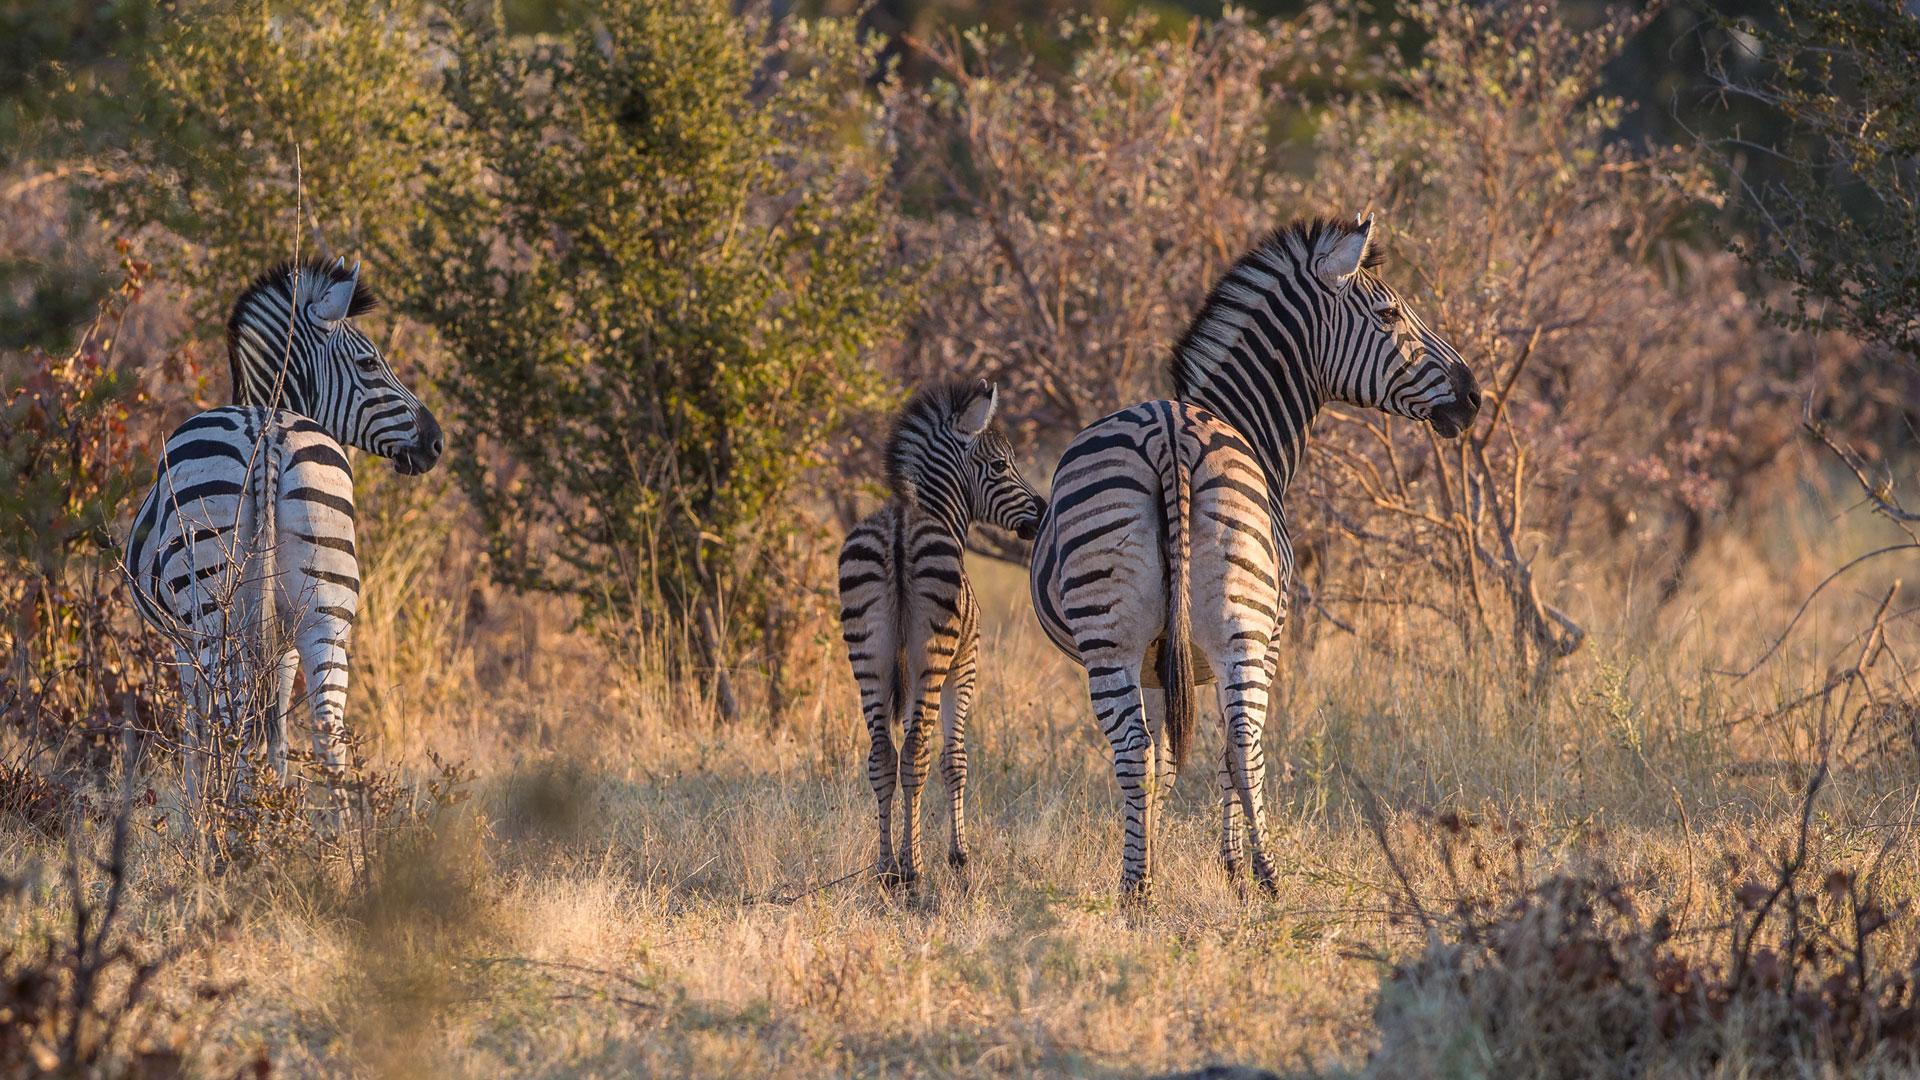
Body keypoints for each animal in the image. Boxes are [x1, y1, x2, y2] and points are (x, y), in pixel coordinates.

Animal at [125, 259, 443, 814]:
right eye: (368, 363)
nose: (436, 442)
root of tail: (267, 430)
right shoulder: (279, 640)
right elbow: (272, 725)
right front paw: (273, 796)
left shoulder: (185, 643)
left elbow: (197, 729)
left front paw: (200, 809)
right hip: (326, 606)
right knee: (327, 728)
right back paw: (335, 837)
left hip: (216, 612)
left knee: (230, 718)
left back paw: (233, 827)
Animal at [840, 382, 1044, 887]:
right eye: (1000, 465)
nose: (1045, 511)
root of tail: (898, 525)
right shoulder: (964, 665)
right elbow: (955, 759)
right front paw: (958, 853)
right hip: (934, 659)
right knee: (915, 752)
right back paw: (912, 870)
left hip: (868, 657)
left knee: (881, 754)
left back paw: (887, 868)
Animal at [1036, 214, 1482, 895]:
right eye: (1388, 314)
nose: (1473, 395)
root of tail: (1167, 432)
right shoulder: (1268, 636)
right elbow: (1227, 752)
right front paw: (1232, 868)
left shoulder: (1161, 662)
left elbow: (1163, 762)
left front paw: (1154, 855)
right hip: (1243, 628)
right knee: (1245, 744)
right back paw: (1270, 877)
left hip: (1109, 638)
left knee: (1133, 750)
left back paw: (1135, 889)